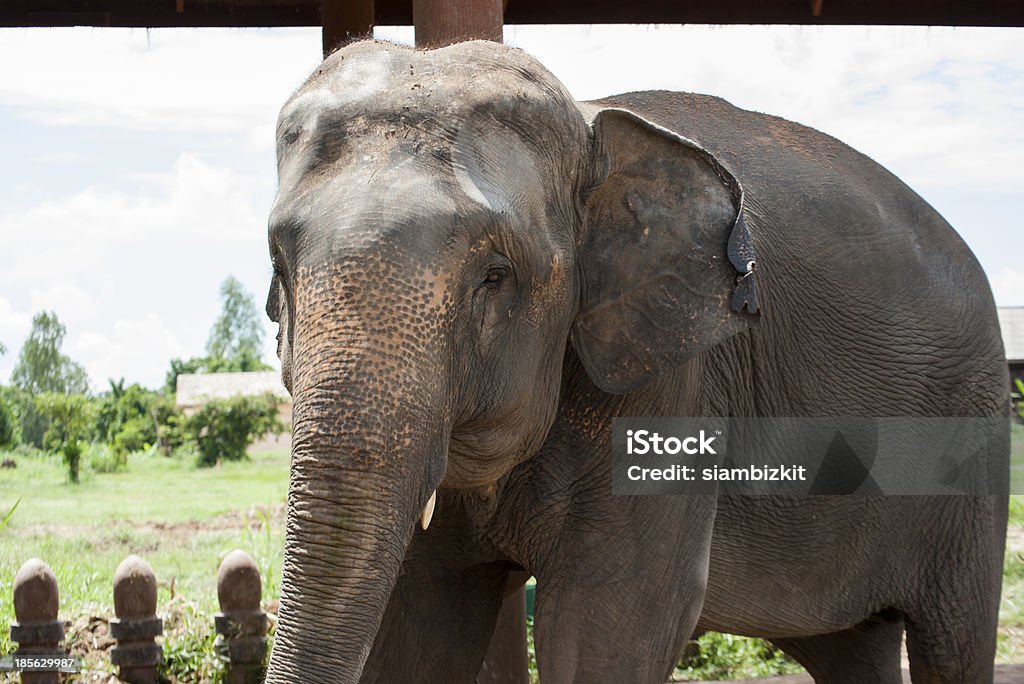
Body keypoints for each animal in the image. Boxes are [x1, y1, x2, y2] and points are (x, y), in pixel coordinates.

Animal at [262, 38, 1007, 684]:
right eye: (279, 264)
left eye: (495, 276)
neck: (588, 121)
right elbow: (418, 616)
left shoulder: (676, 380)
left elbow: (607, 624)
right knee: (850, 645)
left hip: (972, 453)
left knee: (951, 643)